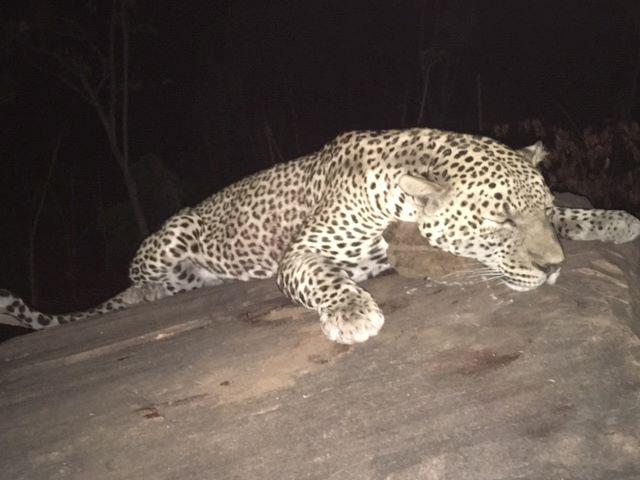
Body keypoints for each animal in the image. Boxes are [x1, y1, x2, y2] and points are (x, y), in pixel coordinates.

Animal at [2, 128, 639, 344]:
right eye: (501, 220)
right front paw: (353, 313)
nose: (556, 268)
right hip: (174, 232)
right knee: (137, 280)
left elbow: (574, 217)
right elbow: (321, 276)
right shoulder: (302, 253)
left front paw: (614, 219)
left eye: (542, 211)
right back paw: (152, 292)